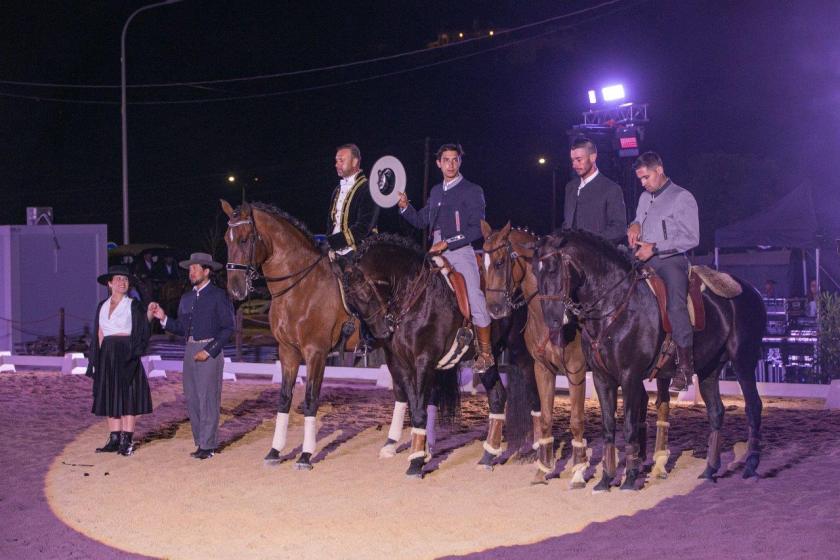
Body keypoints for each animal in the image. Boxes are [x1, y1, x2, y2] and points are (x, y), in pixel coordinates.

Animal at [342, 234, 532, 480]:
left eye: (365, 294)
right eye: (352, 304)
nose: (382, 332)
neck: (416, 296)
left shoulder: (423, 361)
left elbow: (419, 409)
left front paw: (415, 462)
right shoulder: (400, 362)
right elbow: (410, 402)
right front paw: (416, 452)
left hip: (521, 353)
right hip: (486, 362)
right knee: (498, 396)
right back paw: (488, 457)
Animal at [480, 220, 592, 486]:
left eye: (500, 262)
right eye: (483, 264)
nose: (494, 309)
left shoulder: (576, 371)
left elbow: (576, 419)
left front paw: (579, 469)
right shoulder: (542, 367)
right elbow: (546, 415)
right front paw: (544, 468)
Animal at [536, 231, 764, 490]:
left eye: (553, 268)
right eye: (537, 271)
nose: (552, 319)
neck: (613, 306)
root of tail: (752, 291)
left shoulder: (630, 376)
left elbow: (629, 426)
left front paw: (630, 478)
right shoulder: (602, 378)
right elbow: (608, 427)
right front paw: (605, 480)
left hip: (744, 361)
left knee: (753, 407)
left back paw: (751, 466)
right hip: (709, 369)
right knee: (716, 412)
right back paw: (709, 470)